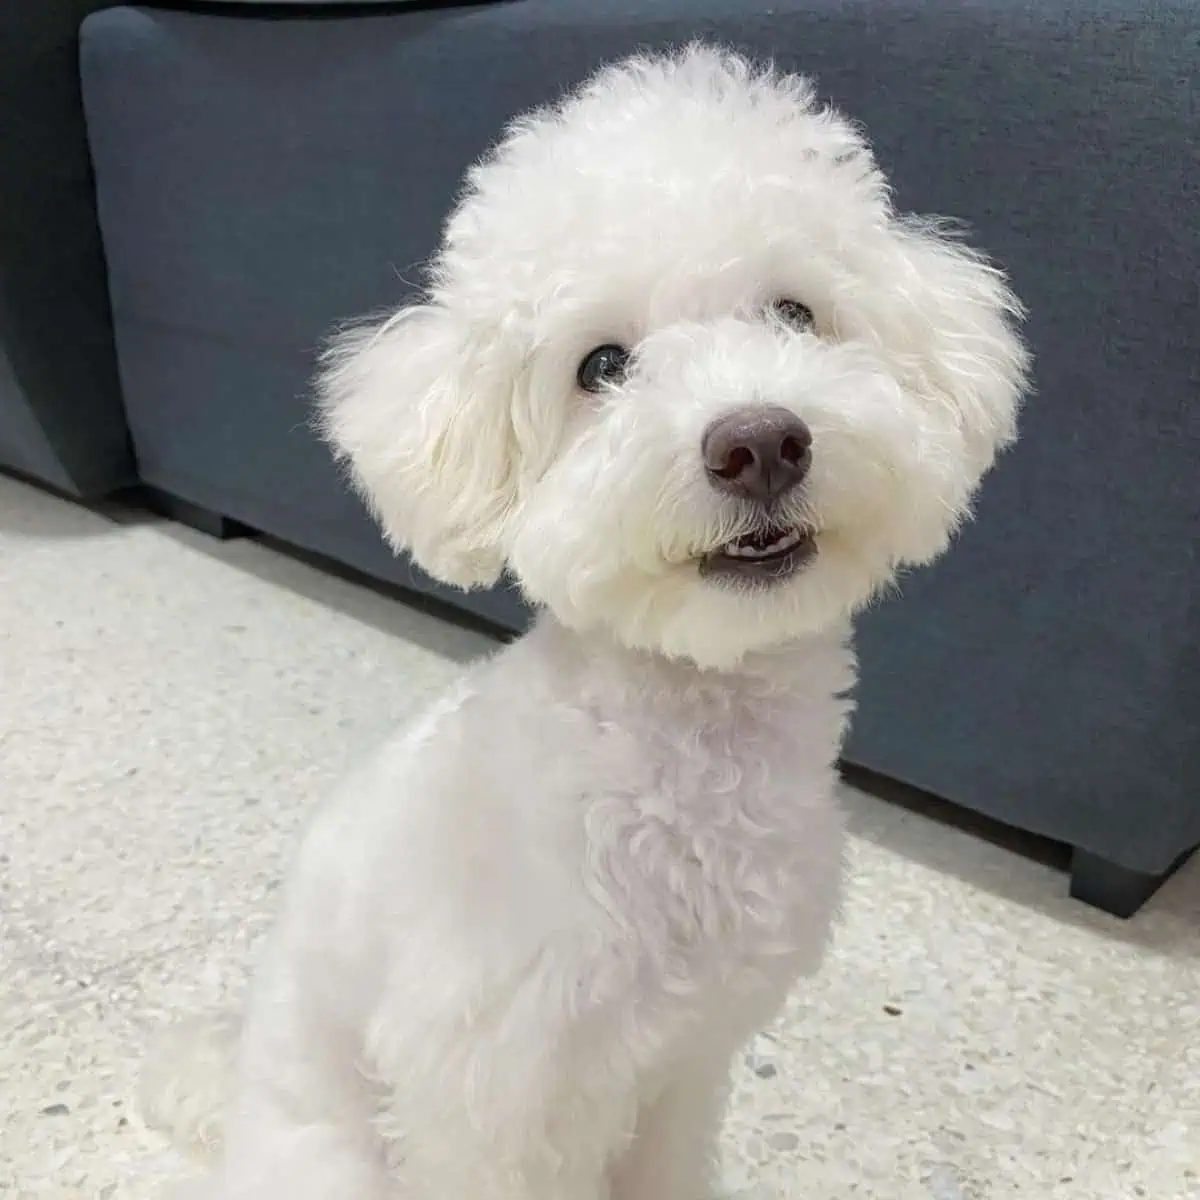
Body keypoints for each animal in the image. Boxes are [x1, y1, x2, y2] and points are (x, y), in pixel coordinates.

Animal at [138, 42, 1022, 1195]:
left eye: (794, 313)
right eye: (601, 365)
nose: (760, 442)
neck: (684, 764)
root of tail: (237, 1096)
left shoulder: (685, 1069)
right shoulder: (488, 1098)